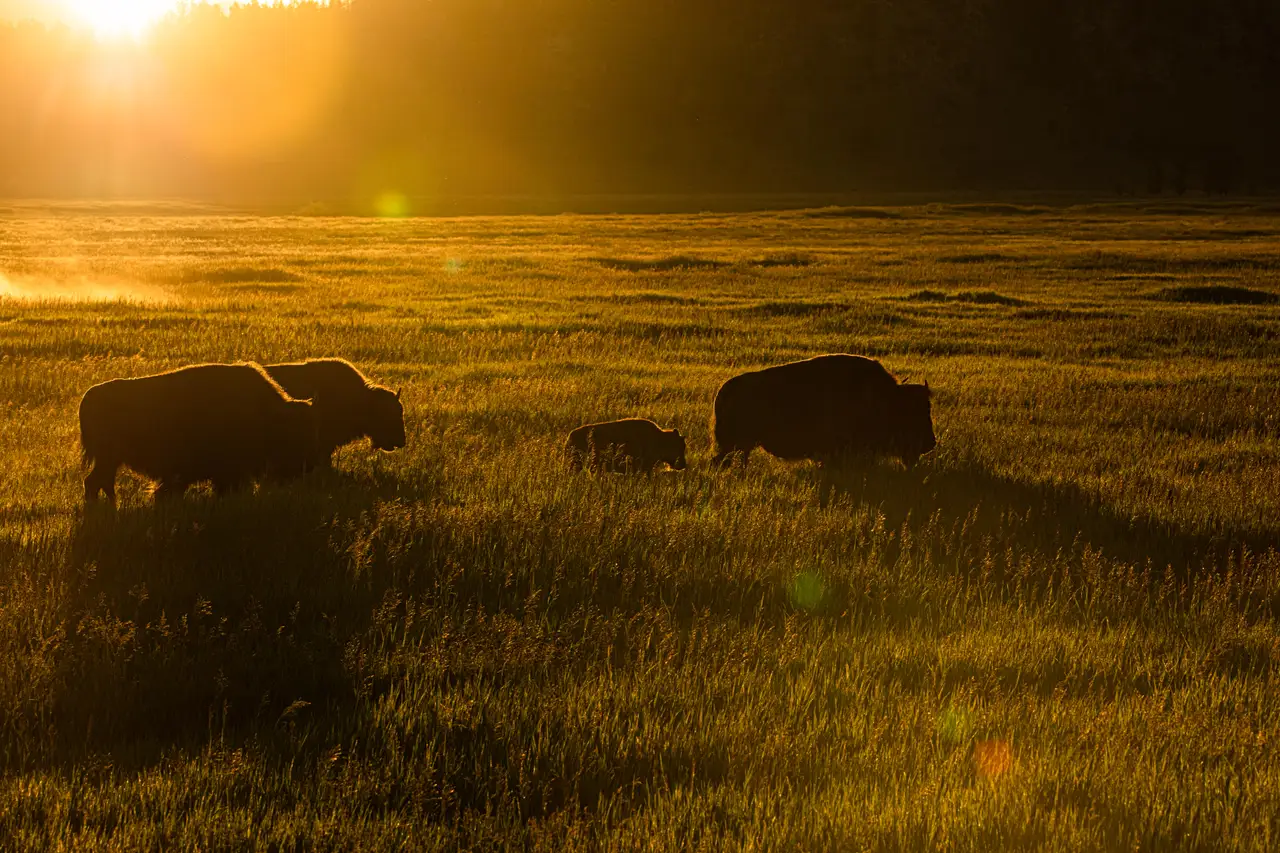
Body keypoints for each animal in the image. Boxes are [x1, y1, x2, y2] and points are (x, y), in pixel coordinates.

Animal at [80, 362, 321, 504]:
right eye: (298, 433)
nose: (308, 466)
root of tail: (89, 396)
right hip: (108, 459)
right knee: (95, 482)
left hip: (110, 461)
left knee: (99, 482)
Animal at [711, 354, 936, 468]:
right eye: (909, 414)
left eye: (927, 409)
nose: (930, 443)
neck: (884, 399)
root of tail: (723, 392)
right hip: (733, 443)